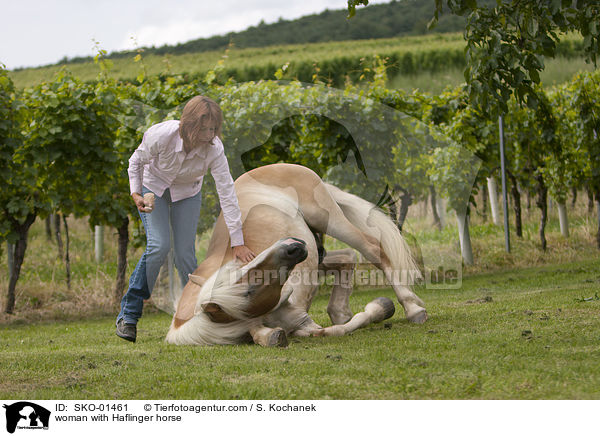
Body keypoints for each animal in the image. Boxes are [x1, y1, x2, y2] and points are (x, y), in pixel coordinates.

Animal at [164, 164, 426, 348]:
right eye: (249, 291)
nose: (290, 247)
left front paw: (379, 308)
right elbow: (327, 330)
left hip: (328, 221)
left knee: (372, 249)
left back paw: (413, 308)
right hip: (317, 250)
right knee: (346, 257)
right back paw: (340, 311)